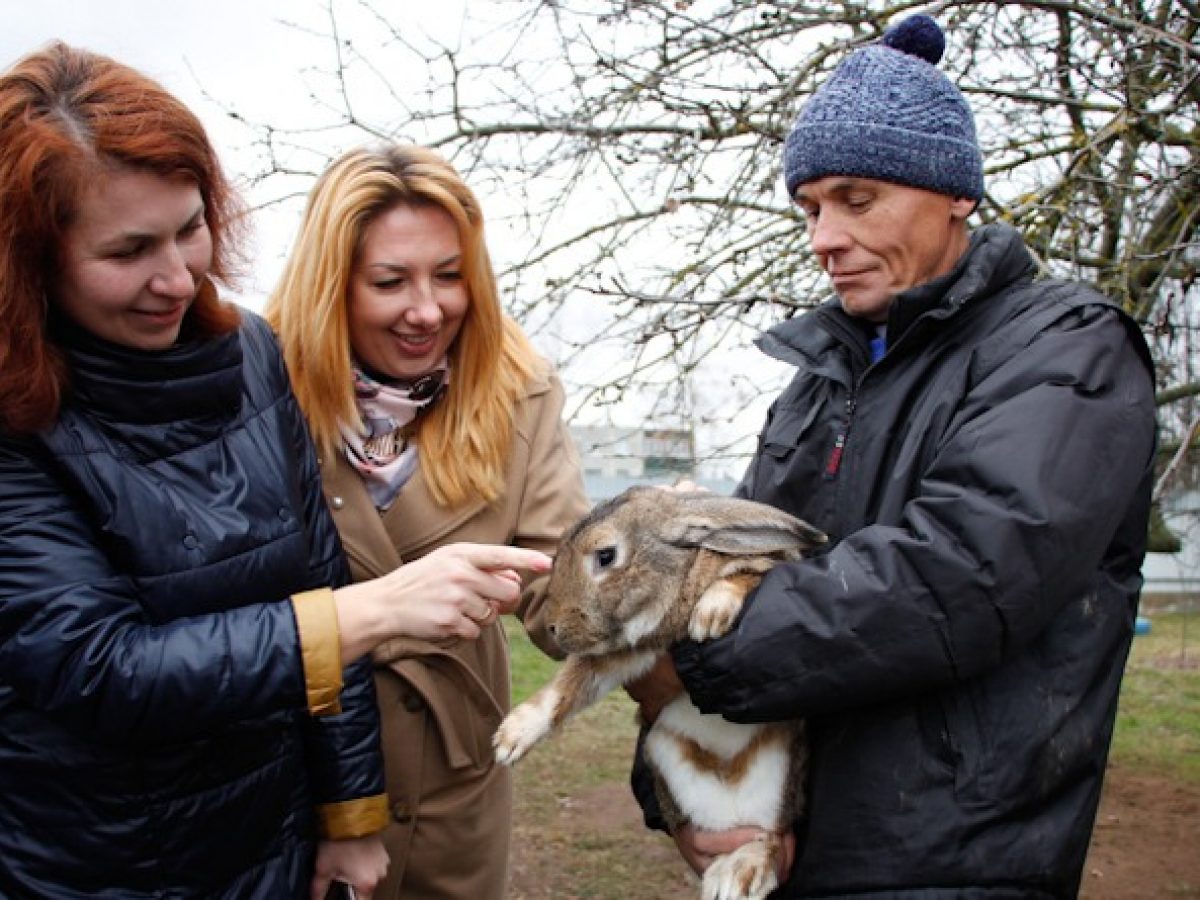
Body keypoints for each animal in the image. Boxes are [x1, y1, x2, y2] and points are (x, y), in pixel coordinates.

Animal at [494, 487, 825, 900]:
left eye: (606, 556)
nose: (554, 626)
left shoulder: (767, 565)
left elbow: (744, 573)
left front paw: (709, 616)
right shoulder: (630, 652)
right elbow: (571, 683)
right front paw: (509, 741)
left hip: (781, 777)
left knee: (773, 838)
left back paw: (739, 874)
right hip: (666, 758)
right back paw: (725, 876)